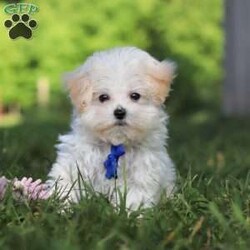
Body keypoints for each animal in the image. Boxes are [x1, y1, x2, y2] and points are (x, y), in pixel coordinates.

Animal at [47, 46, 176, 209]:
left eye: (135, 96)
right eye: (103, 97)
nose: (120, 112)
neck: (115, 143)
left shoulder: (143, 172)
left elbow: (135, 196)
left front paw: (130, 213)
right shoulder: (75, 161)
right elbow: (67, 182)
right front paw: (62, 207)